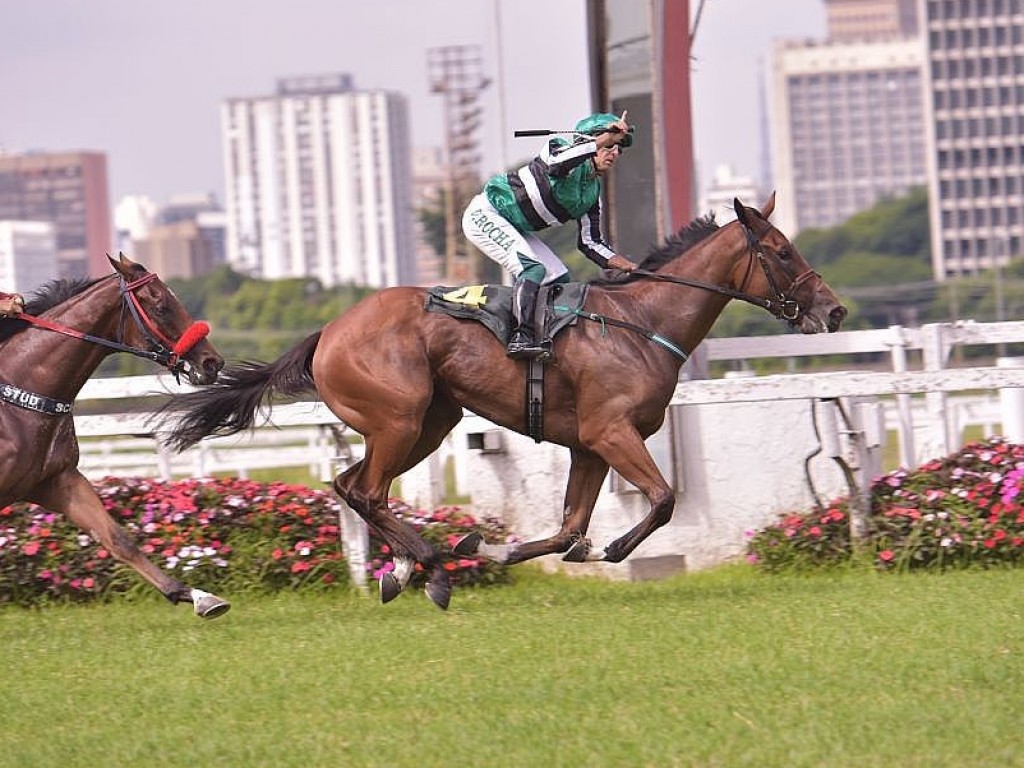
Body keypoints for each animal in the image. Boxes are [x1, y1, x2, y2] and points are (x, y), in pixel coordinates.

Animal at [161, 198, 847, 614]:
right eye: (781, 251)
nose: (835, 310)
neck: (640, 324)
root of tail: (329, 331)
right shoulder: (613, 432)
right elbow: (661, 500)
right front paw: (610, 550)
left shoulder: (587, 445)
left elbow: (569, 529)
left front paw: (494, 549)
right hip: (399, 419)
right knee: (369, 491)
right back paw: (431, 570)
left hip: (427, 424)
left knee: (350, 484)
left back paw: (402, 569)